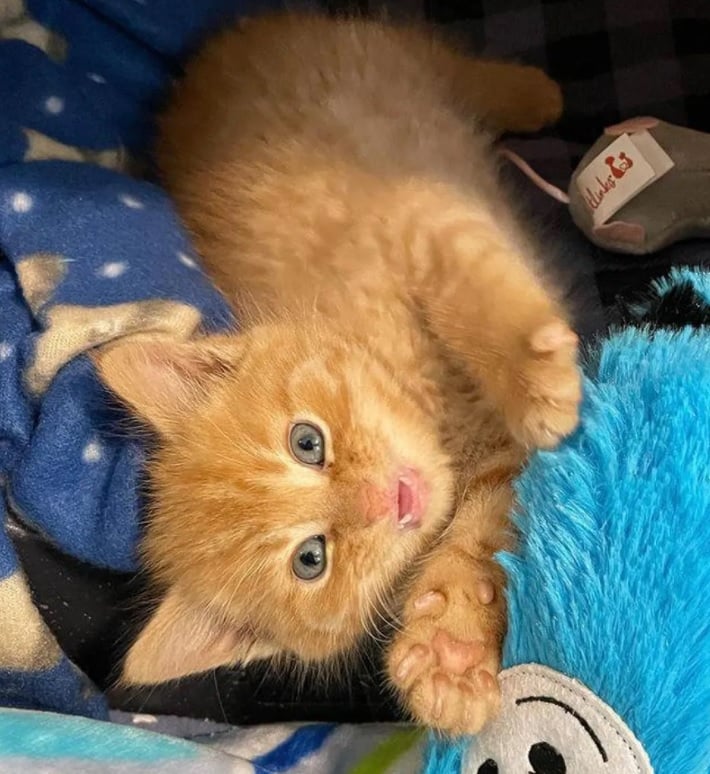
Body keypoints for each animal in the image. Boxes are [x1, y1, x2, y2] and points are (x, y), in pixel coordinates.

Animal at [94, 13, 584, 740]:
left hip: (374, 63)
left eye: (307, 442)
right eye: (311, 559)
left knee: (448, 65)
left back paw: (531, 92)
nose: (388, 497)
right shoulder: (489, 473)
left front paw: (534, 378)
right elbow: (481, 536)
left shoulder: (419, 217)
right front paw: (449, 647)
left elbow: (474, 289)